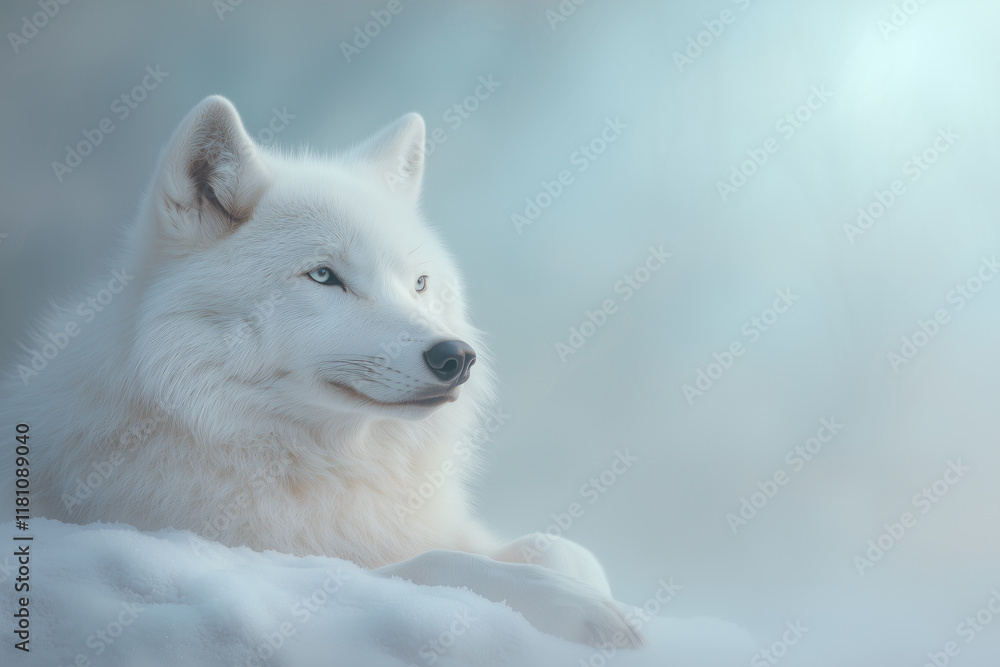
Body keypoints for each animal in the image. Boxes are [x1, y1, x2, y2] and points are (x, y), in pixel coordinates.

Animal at [1, 96, 644, 648]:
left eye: (418, 284)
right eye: (323, 276)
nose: (456, 357)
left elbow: (558, 546)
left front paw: (594, 596)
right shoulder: (245, 554)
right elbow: (434, 563)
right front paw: (573, 608)